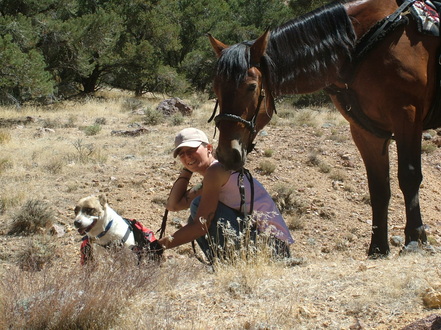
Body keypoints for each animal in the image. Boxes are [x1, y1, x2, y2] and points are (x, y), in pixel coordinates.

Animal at [207, 0, 440, 256]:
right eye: (216, 88)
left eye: (251, 86)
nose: (227, 154)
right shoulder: (366, 133)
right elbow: (378, 188)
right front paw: (378, 248)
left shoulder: (407, 116)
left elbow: (409, 176)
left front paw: (415, 238)